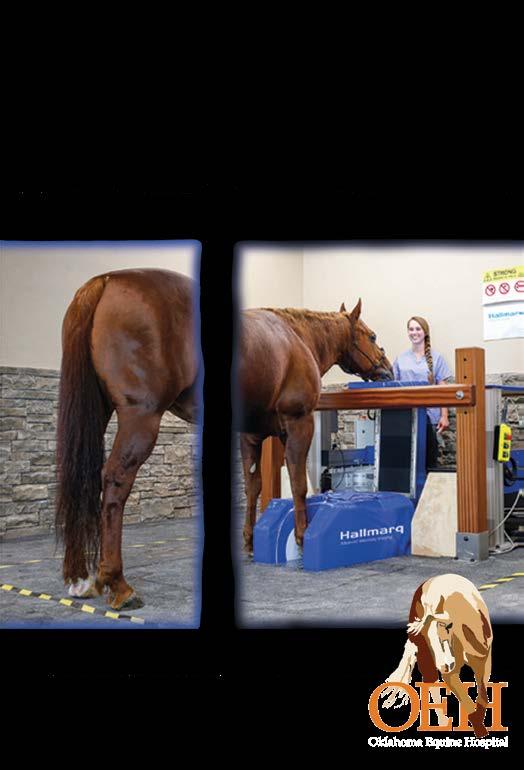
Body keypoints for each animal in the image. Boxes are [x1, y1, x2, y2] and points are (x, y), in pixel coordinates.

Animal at [235, 299, 393, 553]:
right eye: (372, 336)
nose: (389, 371)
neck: (296, 338)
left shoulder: (252, 436)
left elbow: (253, 486)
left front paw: (249, 539)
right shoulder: (299, 425)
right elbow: (298, 483)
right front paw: (301, 534)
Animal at [381, 574, 492, 738]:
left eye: (446, 630)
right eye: (429, 638)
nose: (444, 665)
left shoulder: (484, 661)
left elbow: (483, 694)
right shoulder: (450, 672)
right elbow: (465, 698)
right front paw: (479, 728)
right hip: (424, 654)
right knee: (430, 680)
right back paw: (442, 721)